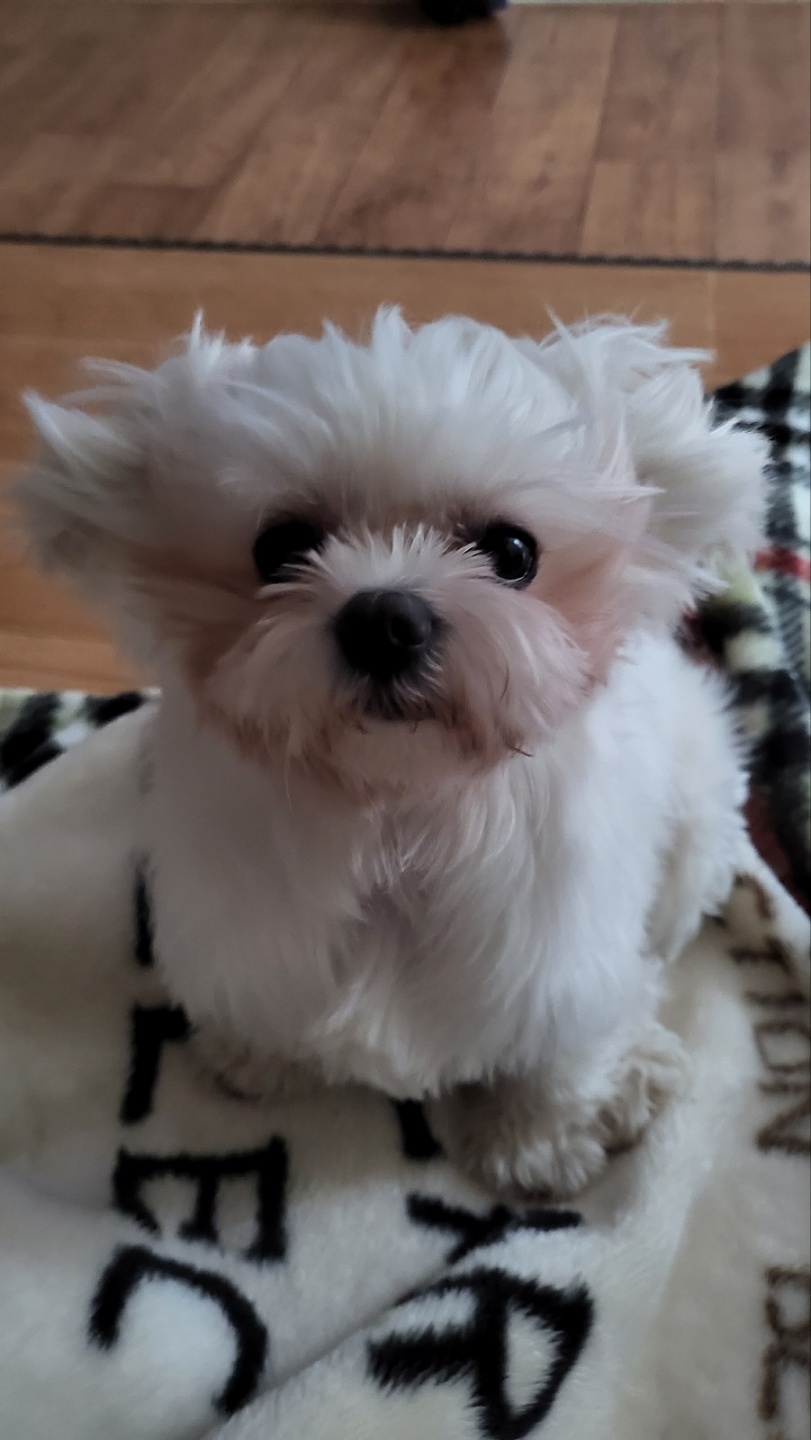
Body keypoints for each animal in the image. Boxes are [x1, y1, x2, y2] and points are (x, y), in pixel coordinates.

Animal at [16, 311, 767, 1197]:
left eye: (513, 552)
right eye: (281, 547)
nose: (384, 619)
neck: (396, 810)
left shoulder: (561, 966)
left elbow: (560, 1058)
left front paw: (534, 1145)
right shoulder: (243, 928)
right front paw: (256, 1056)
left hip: (697, 829)